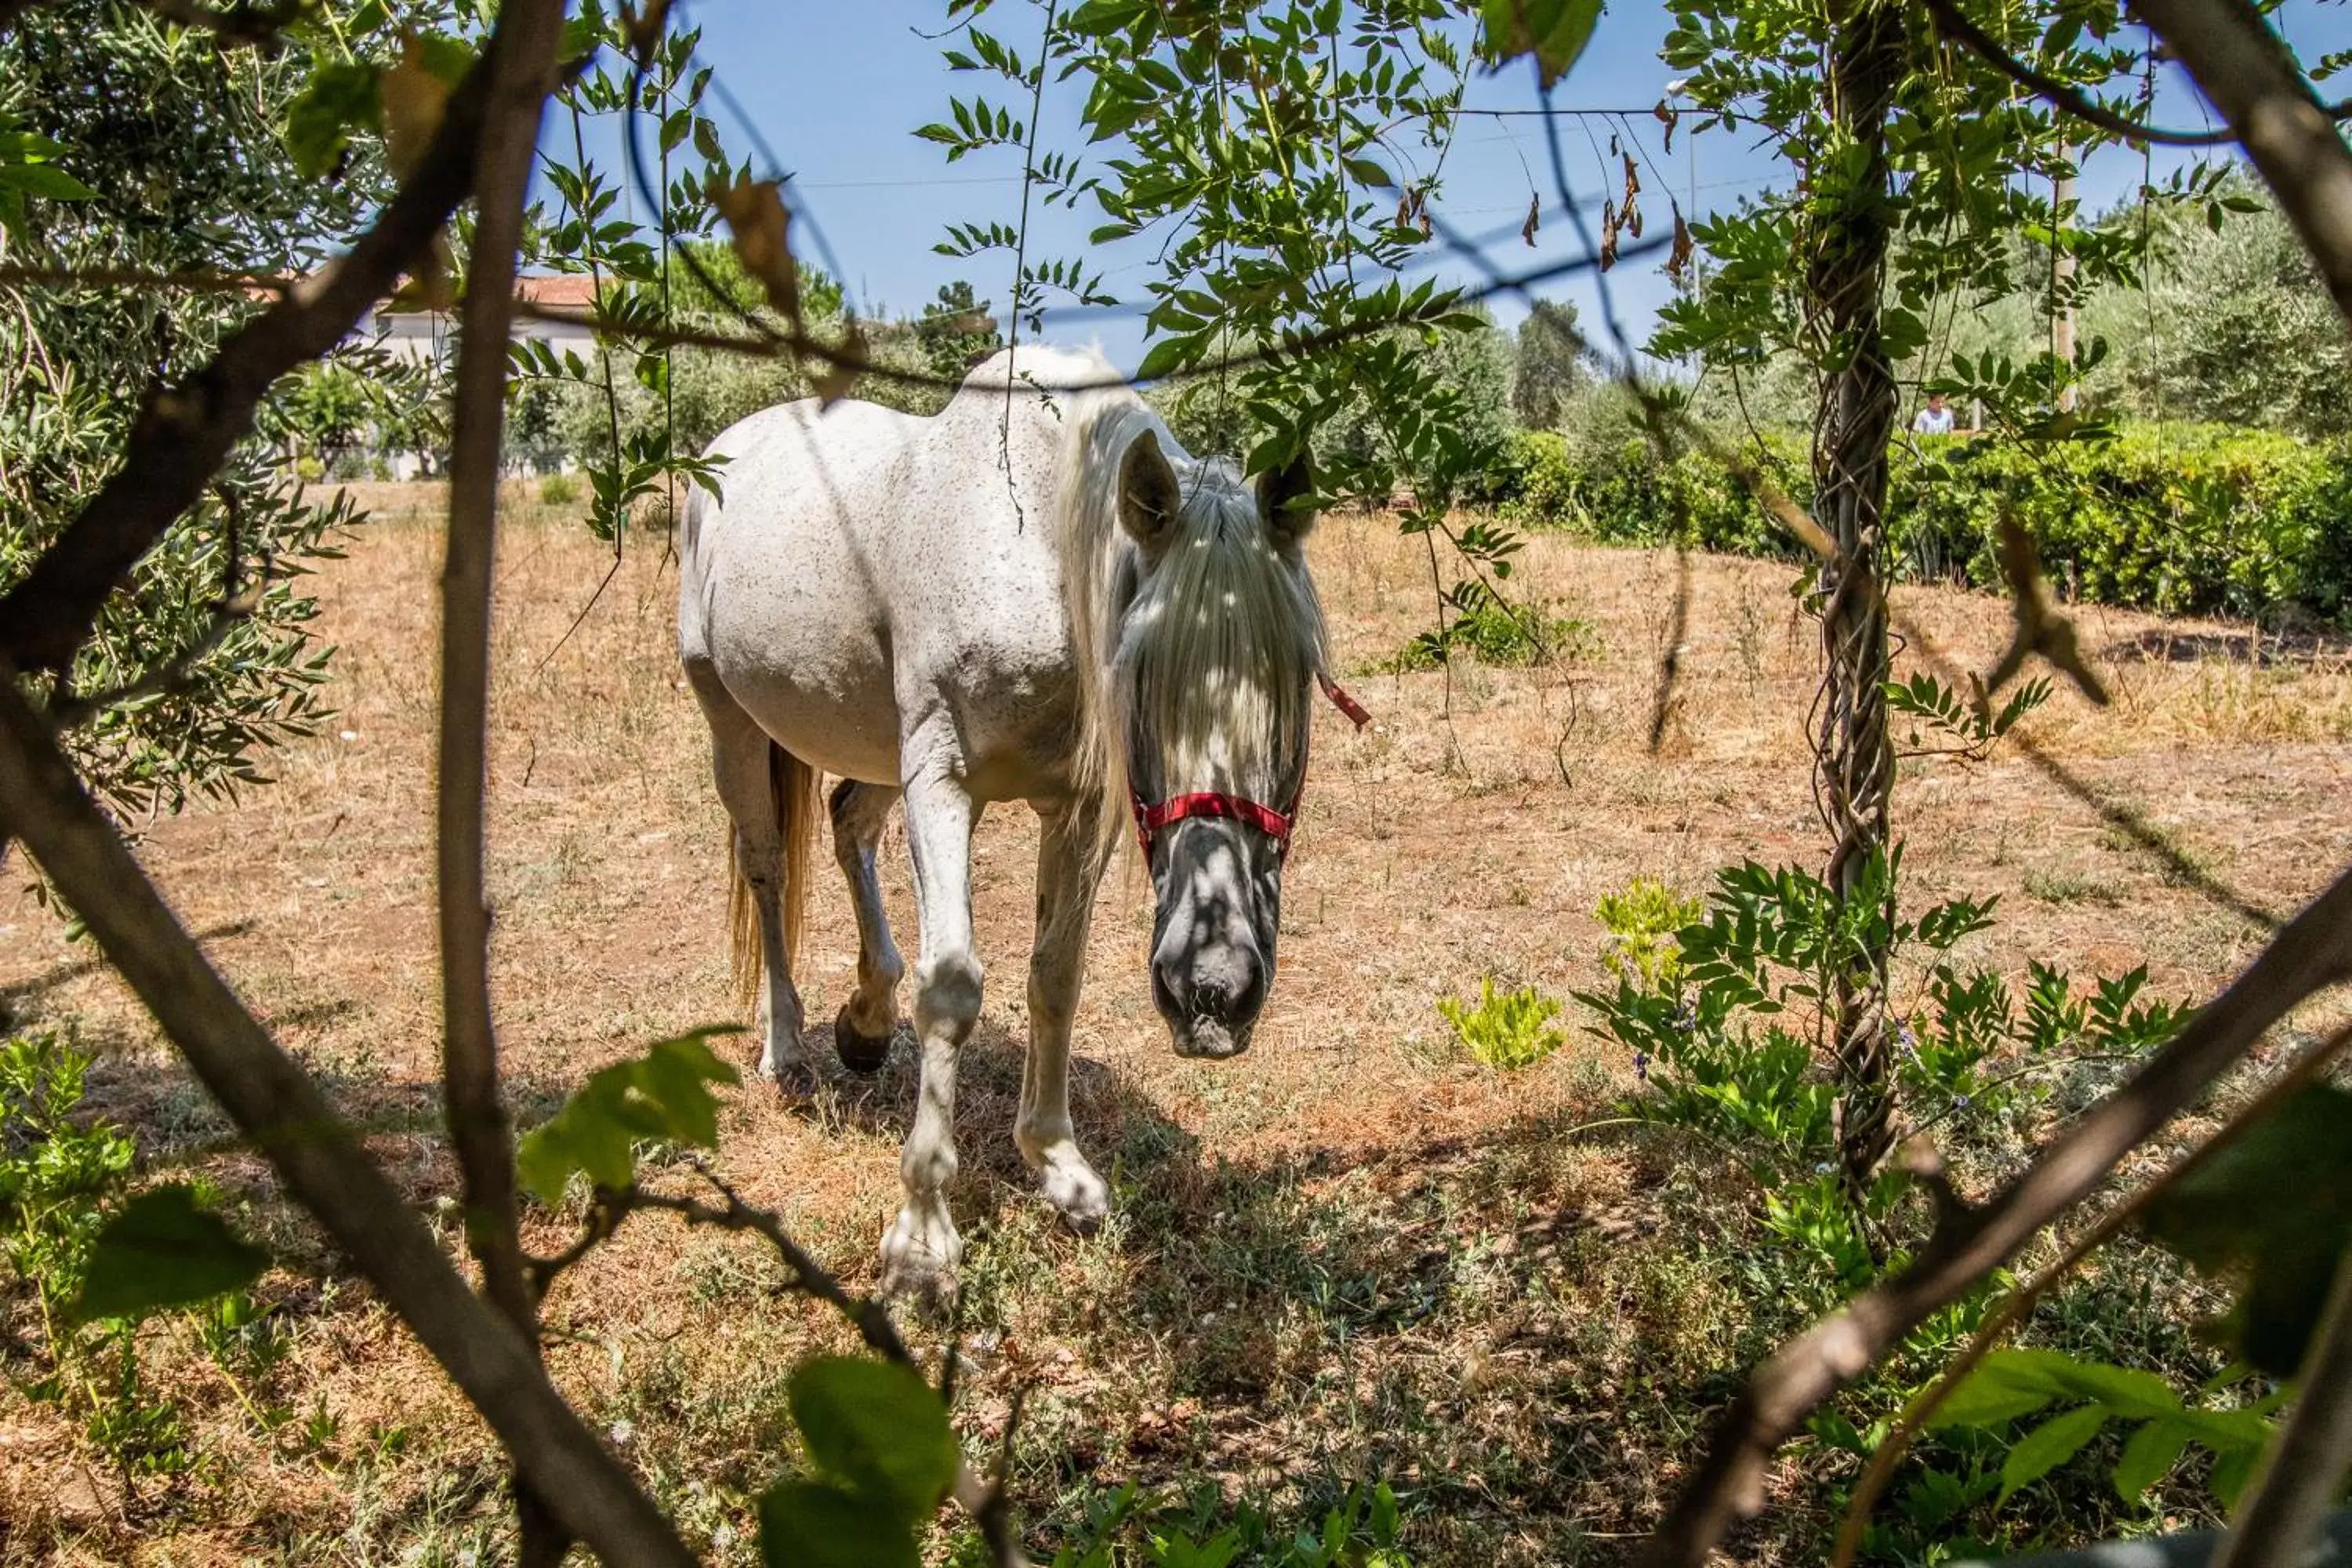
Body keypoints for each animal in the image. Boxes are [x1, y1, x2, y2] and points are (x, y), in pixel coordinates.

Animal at [673, 345, 1355, 1298]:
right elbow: (953, 988)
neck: (1033, 557)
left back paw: (866, 1019)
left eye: (1300, 676)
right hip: (730, 720)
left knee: (850, 826)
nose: (1213, 993)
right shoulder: (942, 781)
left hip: (873, 745)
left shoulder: (1075, 806)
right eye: (1138, 670)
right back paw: (787, 1046)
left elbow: (1055, 974)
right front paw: (922, 1239)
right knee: (768, 866)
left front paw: (1059, 1165)